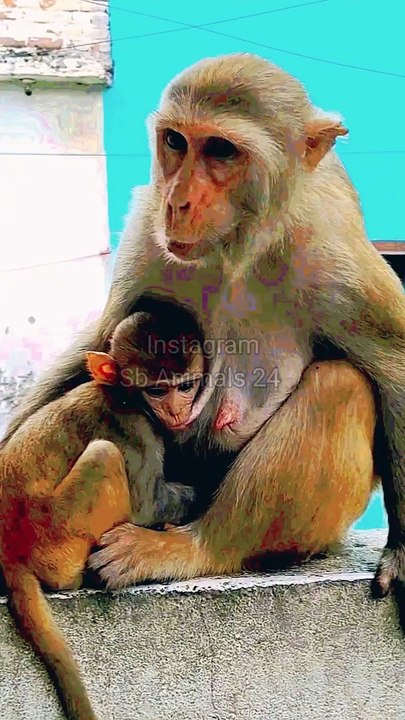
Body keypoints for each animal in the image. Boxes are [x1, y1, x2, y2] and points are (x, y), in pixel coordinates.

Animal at [0, 298, 208, 720]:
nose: (178, 412)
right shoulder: (136, 430)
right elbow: (147, 504)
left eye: (186, 386)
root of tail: (9, 549)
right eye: (157, 390)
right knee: (102, 454)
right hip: (58, 533)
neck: (120, 393)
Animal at [2, 53, 405, 608]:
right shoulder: (147, 236)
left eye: (221, 149)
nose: (177, 202)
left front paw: (402, 555)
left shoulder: (333, 249)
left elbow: (394, 363)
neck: (239, 247)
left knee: (339, 385)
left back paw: (196, 548)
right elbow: (101, 341)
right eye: (176, 141)